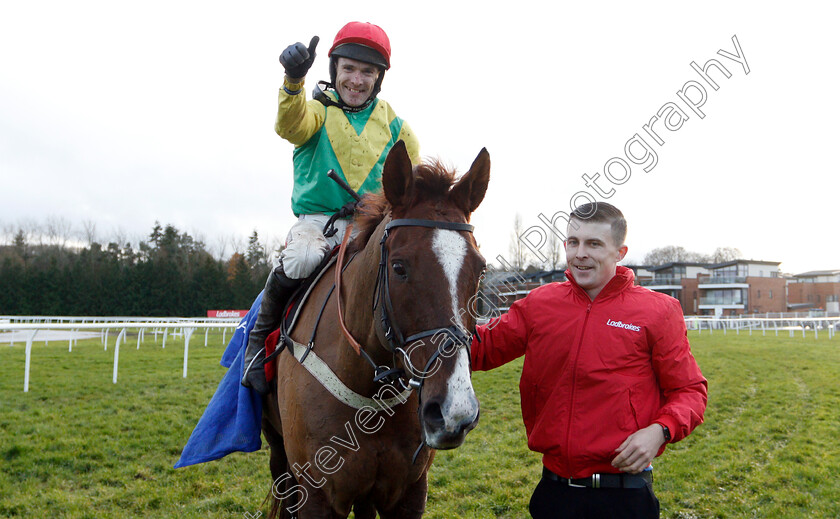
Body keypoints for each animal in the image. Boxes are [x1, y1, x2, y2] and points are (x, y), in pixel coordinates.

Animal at [260, 140, 488, 516]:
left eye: (480, 268)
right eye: (398, 267)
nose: (454, 410)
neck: (367, 389)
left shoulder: (410, 490)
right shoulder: (316, 494)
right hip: (278, 450)